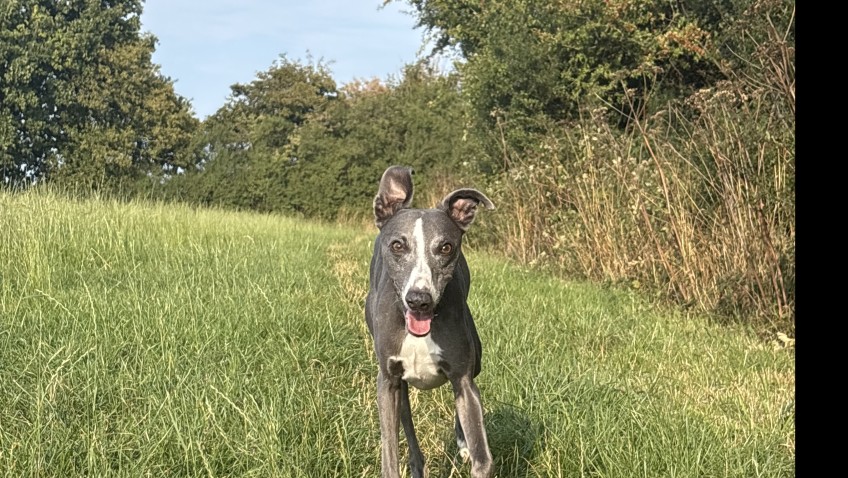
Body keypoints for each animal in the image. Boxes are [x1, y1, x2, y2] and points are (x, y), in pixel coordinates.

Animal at [365, 166, 495, 478]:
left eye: (446, 247)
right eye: (397, 245)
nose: (419, 300)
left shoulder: (463, 378)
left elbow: (483, 458)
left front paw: (470, 449)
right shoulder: (387, 382)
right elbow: (390, 456)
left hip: (475, 362)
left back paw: (462, 443)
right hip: (399, 389)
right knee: (410, 437)